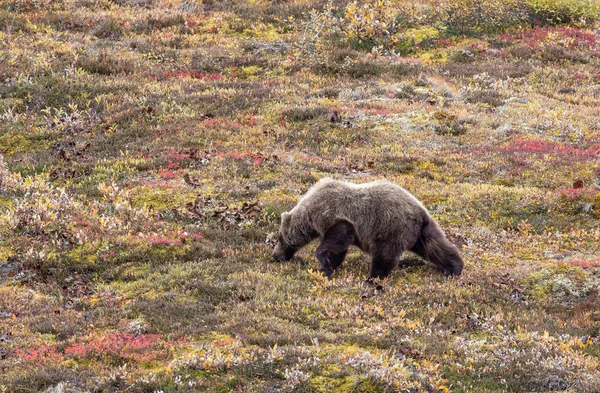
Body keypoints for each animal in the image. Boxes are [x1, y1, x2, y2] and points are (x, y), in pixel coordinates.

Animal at [272, 178, 464, 278]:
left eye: (279, 238)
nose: (275, 255)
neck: (310, 213)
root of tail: (419, 211)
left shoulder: (335, 217)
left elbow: (335, 240)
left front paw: (325, 264)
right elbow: (338, 249)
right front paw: (329, 266)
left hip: (389, 227)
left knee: (384, 255)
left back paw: (373, 277)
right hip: (422, 231)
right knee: (436, 246)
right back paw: (454, 267)